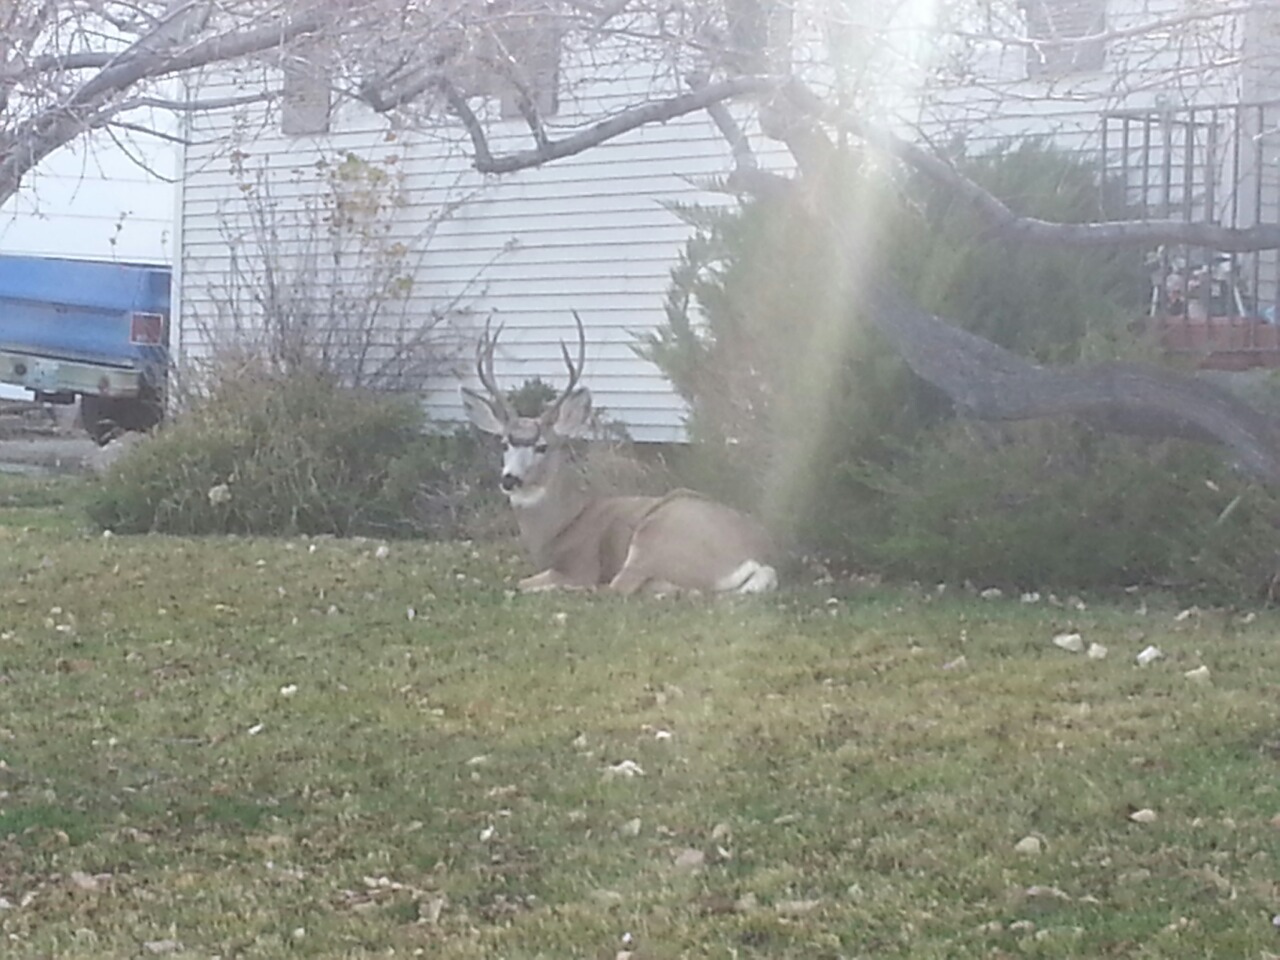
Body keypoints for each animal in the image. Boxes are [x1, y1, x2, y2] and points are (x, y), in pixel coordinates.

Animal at [463, 316, 778, 599]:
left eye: (542, 446)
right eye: (504, 443)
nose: (509, 479)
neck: (562, 524)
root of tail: (759, 558)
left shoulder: (581, 564)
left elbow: (526, 582)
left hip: (654, 536)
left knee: (616, 588)